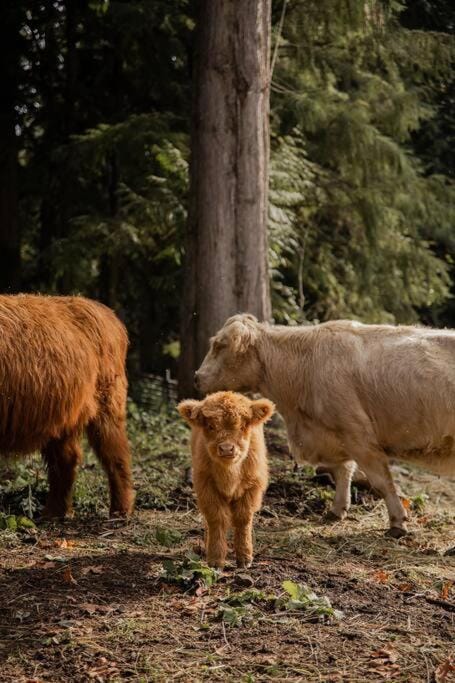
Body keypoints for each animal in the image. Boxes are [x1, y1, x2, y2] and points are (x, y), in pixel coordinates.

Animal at [0, 294, 134, 520]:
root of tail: (107, 313)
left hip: (107, 403)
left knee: (116, 454)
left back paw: (120, 510)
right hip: (63, 415)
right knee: (66, 460)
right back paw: (54, 512)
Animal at [179, 392, 274, 568]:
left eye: (243, 426)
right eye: (210, 426)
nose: (227, 449)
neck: (229, 473)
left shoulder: (253, 487)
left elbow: (243, 519)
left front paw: (245, 558)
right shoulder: (206, 487)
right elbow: (217, 518)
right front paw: (215, 559)